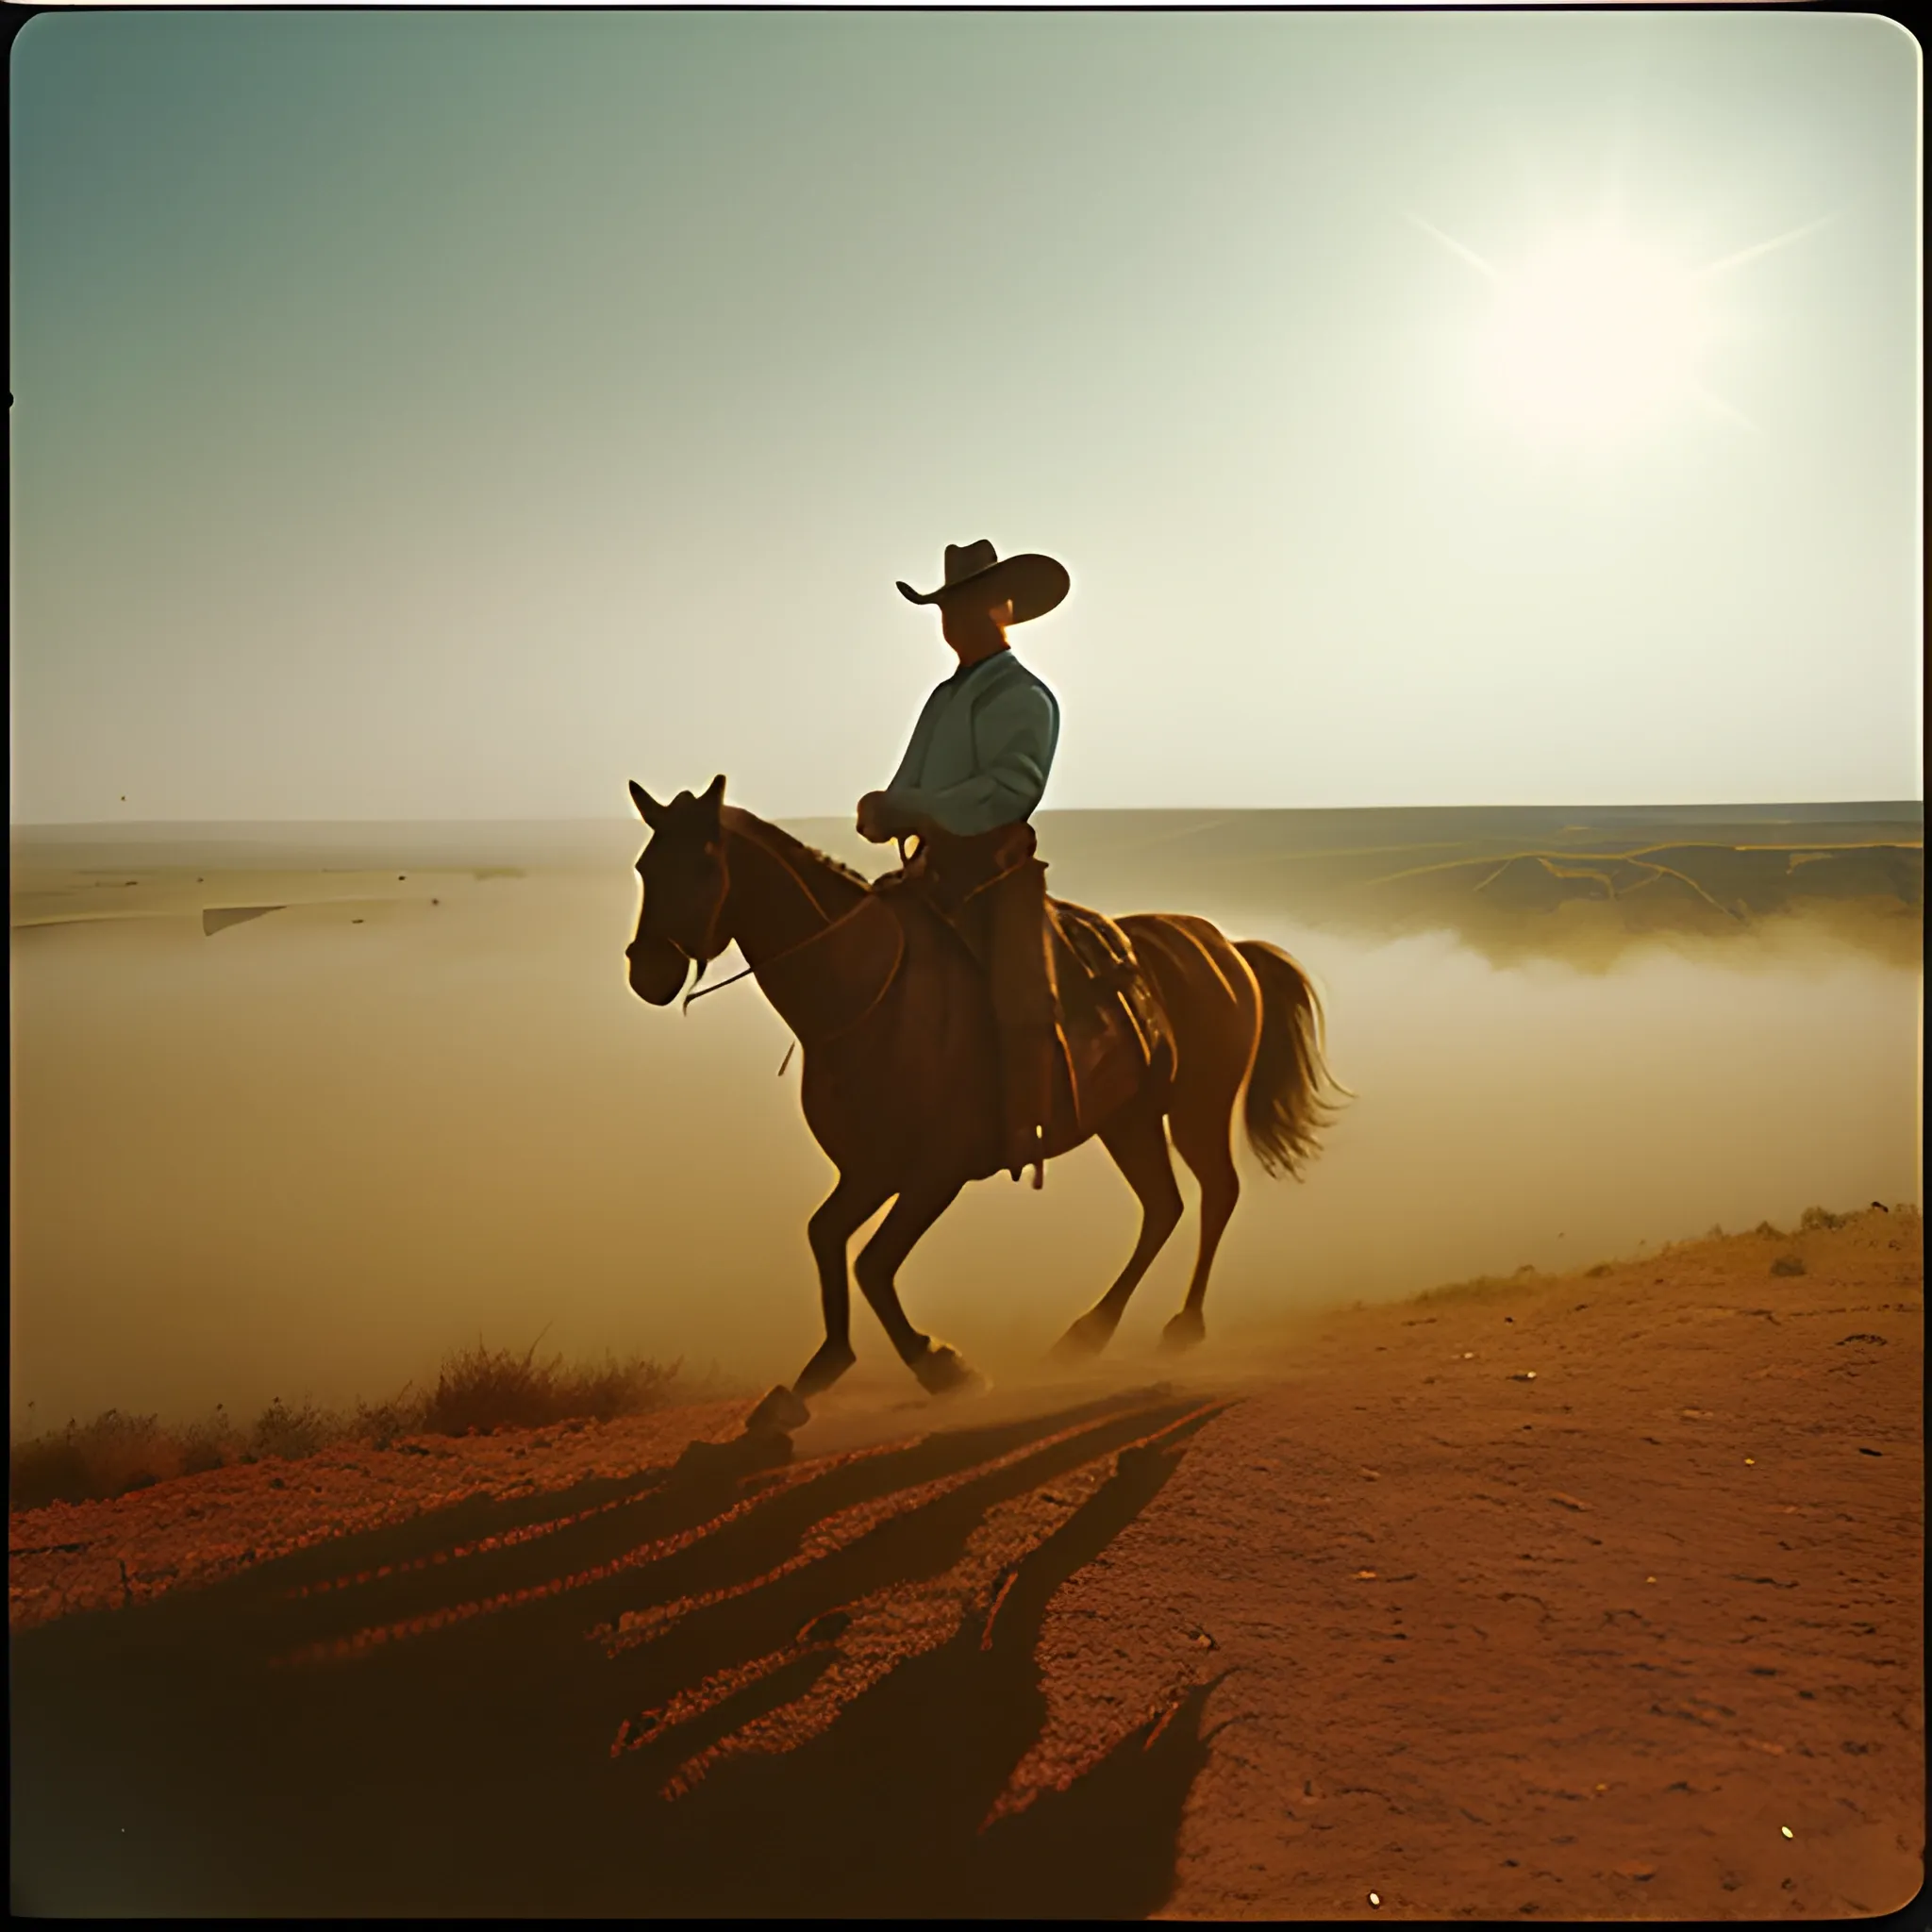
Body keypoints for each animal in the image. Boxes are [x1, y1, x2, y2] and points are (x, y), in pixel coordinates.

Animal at [622, 776, 1344, 1429]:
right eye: (644, 865)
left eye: (702, 863)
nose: (649, 971)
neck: (868, 993)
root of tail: (1226, 948)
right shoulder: (869, 1170)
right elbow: (826, 1238)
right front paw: (814, 1376)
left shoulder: (935, 1174)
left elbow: (872, 1264)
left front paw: (944, 1367)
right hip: (1130, 1122)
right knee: (1163, 1208)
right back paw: (1086, 1334)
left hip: (1197, 1109)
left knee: (1217, 1193)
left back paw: (1182, 1327)